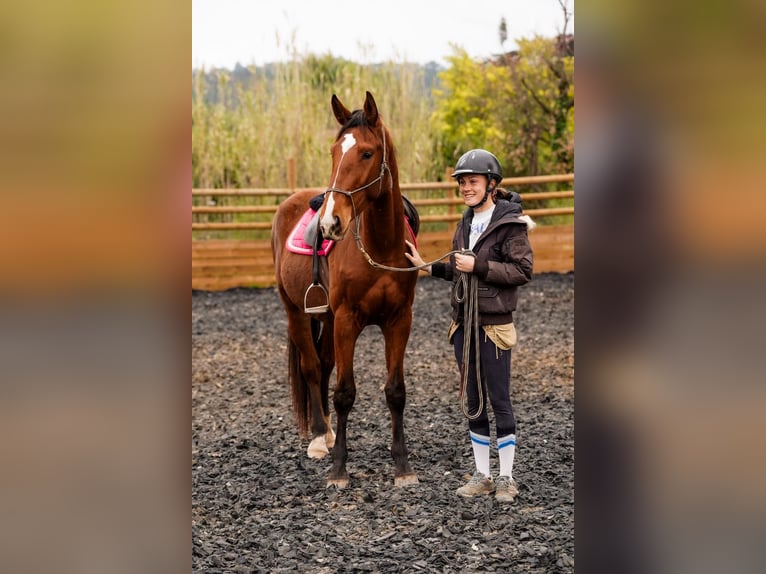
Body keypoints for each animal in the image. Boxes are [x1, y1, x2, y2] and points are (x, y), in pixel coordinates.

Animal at [271, 91, 419, 488]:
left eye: (366, 153)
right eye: (334, 151)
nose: (330, 223)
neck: (379, 247)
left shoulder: (399, 320)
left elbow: (395, 391)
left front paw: (402, 466)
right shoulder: (348, 321)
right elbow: (345, 393)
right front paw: (339, 469)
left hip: (326, 318)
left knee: (323, 365)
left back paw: (327, 433)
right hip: (295, 312)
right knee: (310, 367)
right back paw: (320, 437)